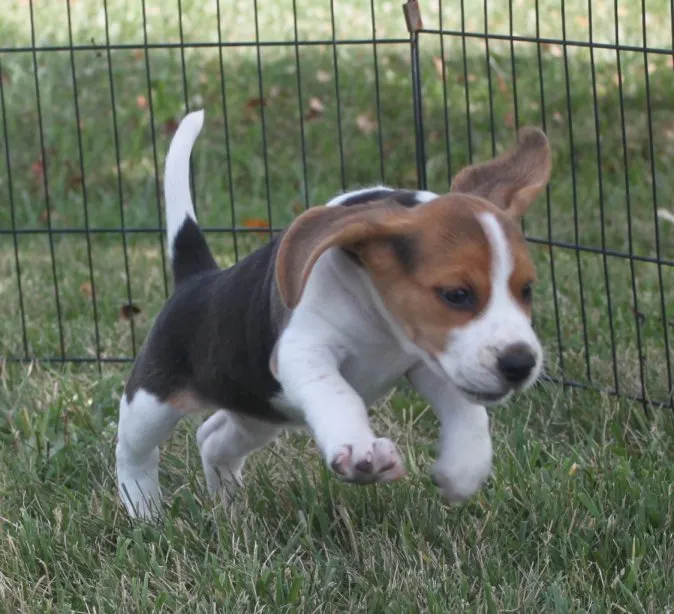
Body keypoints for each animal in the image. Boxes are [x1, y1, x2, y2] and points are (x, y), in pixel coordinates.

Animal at [115, 109, 552, 520]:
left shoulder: (431, 358)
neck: (382, 323)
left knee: (212, 437)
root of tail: (198, 278)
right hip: (152, 402)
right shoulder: (302, 350)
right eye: (457, 295)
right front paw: (359, 449)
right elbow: (337, 393)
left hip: (261, 411)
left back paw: (230, 505)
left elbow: (469, 413)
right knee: (134, 452)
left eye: (527, 290)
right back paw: (145, 511)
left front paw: (462, 470)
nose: (520, 363)